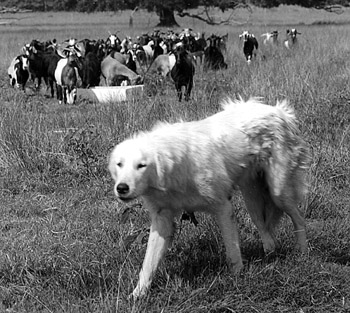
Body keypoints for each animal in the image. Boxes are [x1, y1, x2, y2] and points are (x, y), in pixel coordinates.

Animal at [108, 97, 308, 298]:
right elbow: (148, 265)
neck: (177, 171)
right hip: (252, 199)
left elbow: (232, 251)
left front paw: (238, 280)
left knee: (299, 220)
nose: (122, 188)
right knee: (265, 231)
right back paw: (270, 256)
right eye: (120, 164)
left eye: (141, 165)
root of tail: (279, 110)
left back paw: (302, 253)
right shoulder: (162, 220)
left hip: (278, 193)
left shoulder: (223, 208)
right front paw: (138, 295)